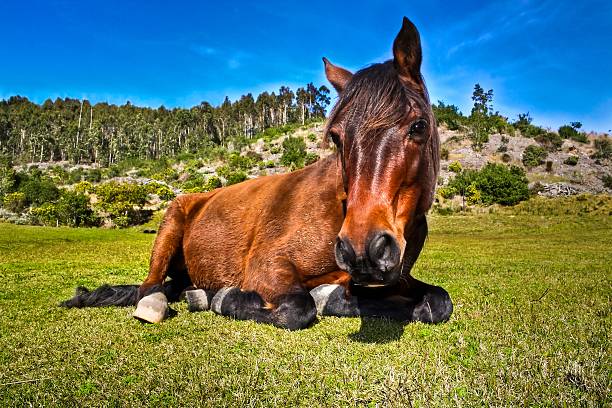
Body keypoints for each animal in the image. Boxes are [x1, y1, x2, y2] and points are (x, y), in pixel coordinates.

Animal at [62, 17, 452, 332]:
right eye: (337, 137)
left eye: (418, 126)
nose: (361, 250)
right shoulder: (268, 266)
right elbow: (298, 307)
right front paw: (225, 300)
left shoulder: (395, 279)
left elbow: (438, 303)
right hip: (170, 224)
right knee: (151, 286)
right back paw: (172, 300)